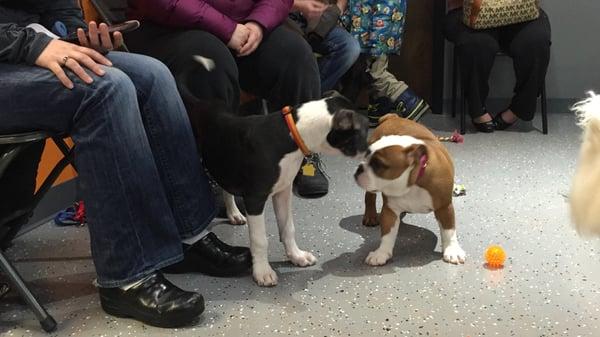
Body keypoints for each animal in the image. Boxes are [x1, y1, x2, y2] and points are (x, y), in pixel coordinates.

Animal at [188, 92, 368, 286]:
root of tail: (197, 101)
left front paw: (296, 256)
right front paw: (262, 271)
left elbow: (288, 228)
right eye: (364, 132)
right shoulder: (255, 198)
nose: (373, 152)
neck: (293, 134)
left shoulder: (283, 191)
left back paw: (234, 213)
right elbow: (260, 239)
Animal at [354, 113, 466, 266]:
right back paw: (370, 216)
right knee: (369, 197)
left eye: (378, 165)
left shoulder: (444, 207)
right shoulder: (390, 210)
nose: (359, 168)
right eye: (365, 157)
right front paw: (381, 252)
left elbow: (449, 230)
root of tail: (392, 116)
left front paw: (452, 249)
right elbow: (387, 234)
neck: (412, 182)